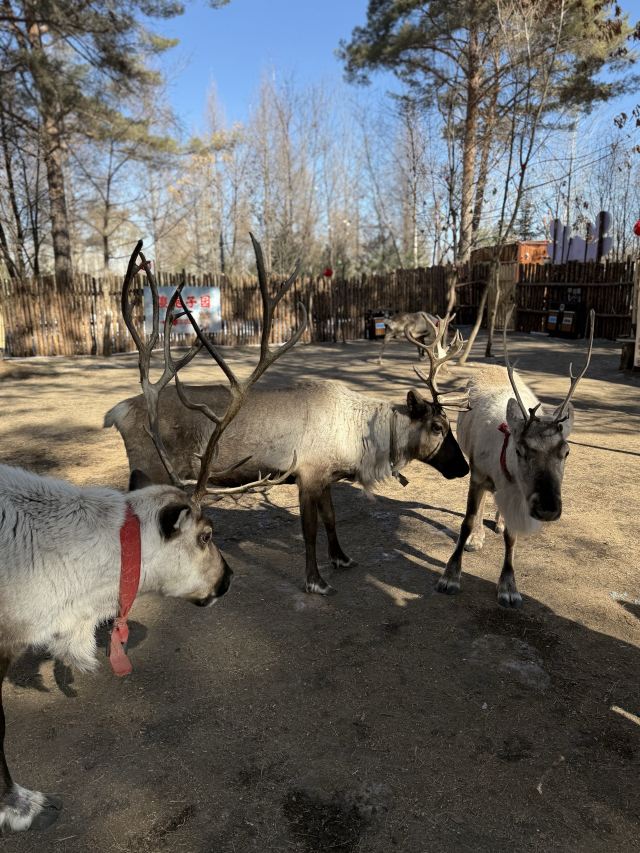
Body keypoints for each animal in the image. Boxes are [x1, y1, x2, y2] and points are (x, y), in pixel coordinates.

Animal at [105, 313, 470, 597]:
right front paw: (316, 581)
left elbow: (331, 519)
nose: (464, 468)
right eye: (438, 426)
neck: (358, 436)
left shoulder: (325, 478)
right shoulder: (307, 476)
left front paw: (342, 558)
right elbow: (309, 530)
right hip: (152, 468)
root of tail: (118, 411)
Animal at [434, 309, 595, 608]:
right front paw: (450, 576)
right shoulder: (477, 475)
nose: (547, 509)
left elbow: (511, 537)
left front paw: (509, 586)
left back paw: (497, 523)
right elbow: (467, 521)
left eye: (566, 451)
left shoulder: (517, 493)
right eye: (520, 450)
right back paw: (478, 537)